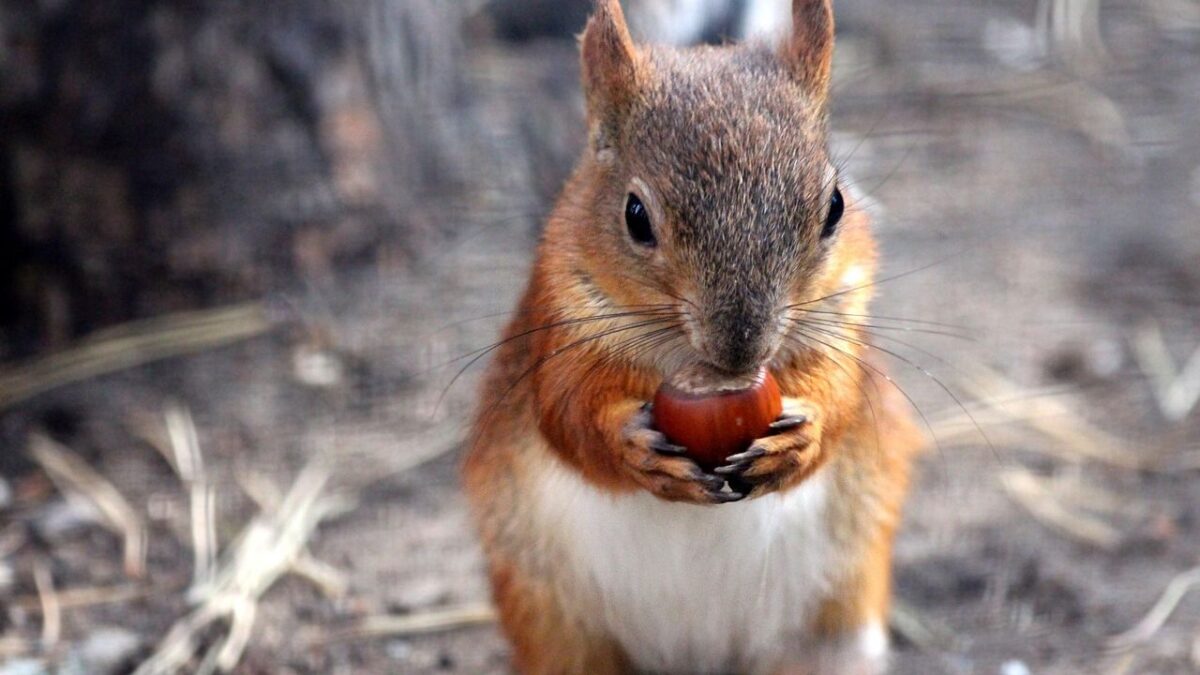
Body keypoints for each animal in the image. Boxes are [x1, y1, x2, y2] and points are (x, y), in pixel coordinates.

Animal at [462, 0, 924, 672]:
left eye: (836, 206)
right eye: (635, 216)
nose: (741, 349)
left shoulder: (843, 328)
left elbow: (840, 400)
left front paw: (803, 439)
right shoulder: (559, 329)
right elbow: (567, 415)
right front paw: (631, 447)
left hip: (836, 632)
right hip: (556, 631)